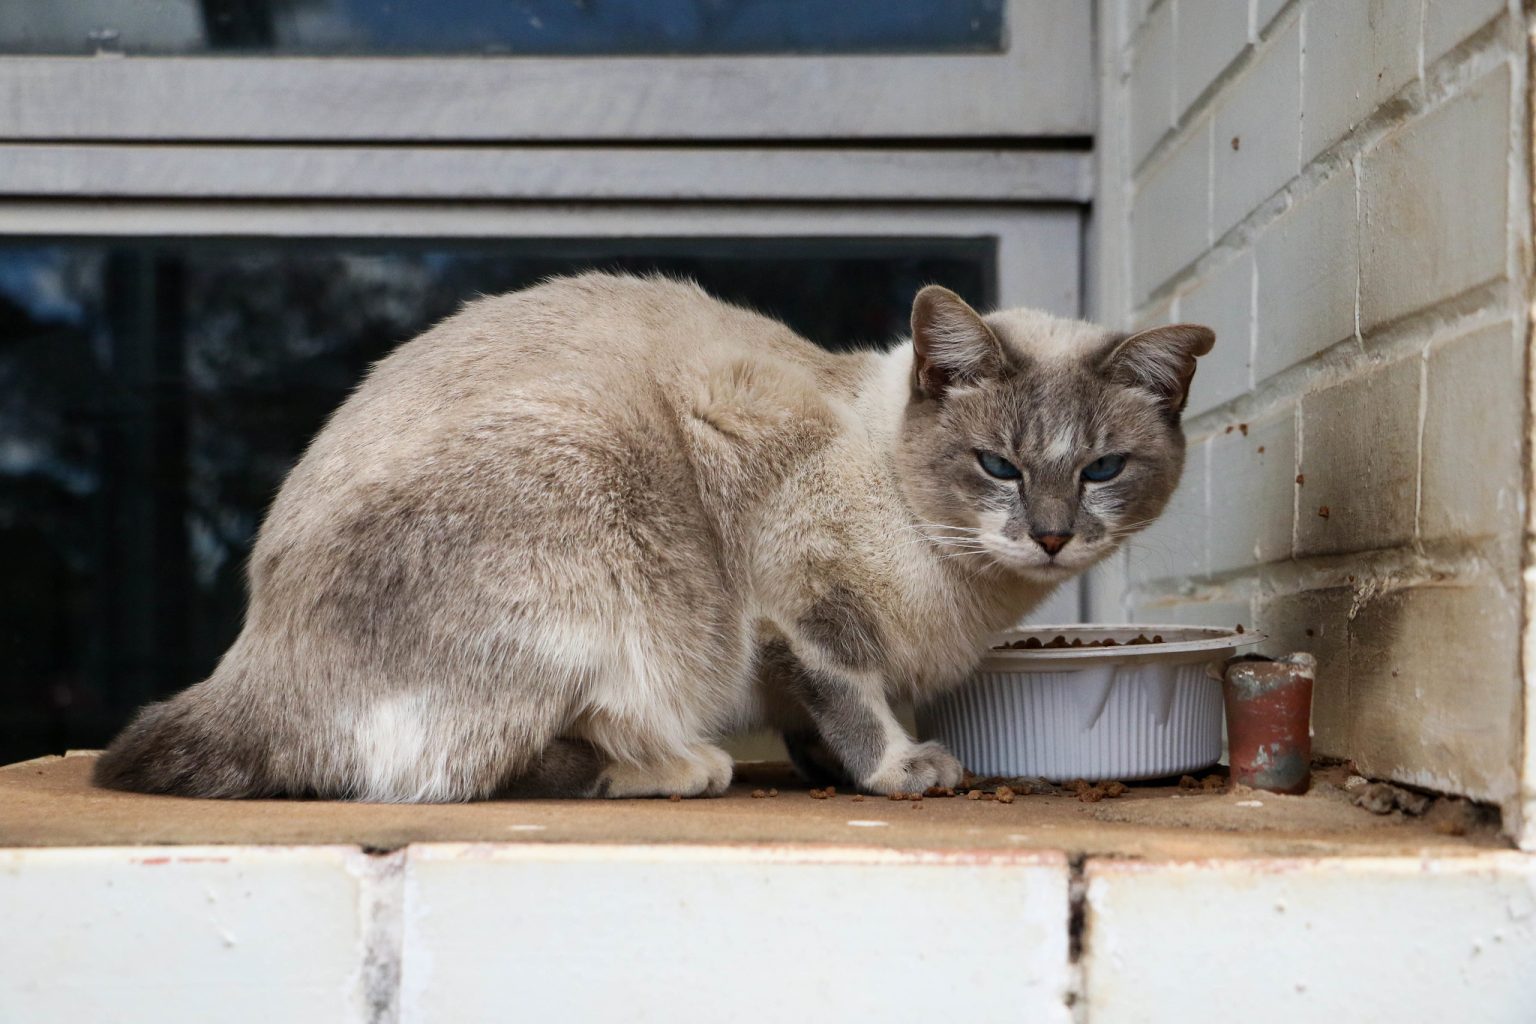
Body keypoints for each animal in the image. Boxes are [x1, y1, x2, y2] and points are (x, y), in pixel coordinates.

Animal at [92, 271, 1210, 798]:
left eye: (1102, 470)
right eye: (999, 467)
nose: (1053, 538)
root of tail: (247, 657)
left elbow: (813, 721)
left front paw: (825, 766)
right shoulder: (800, 599)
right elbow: (854, 695)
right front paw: (899, 770)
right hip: (596, 520)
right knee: (452, 774)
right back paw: (684, 766)